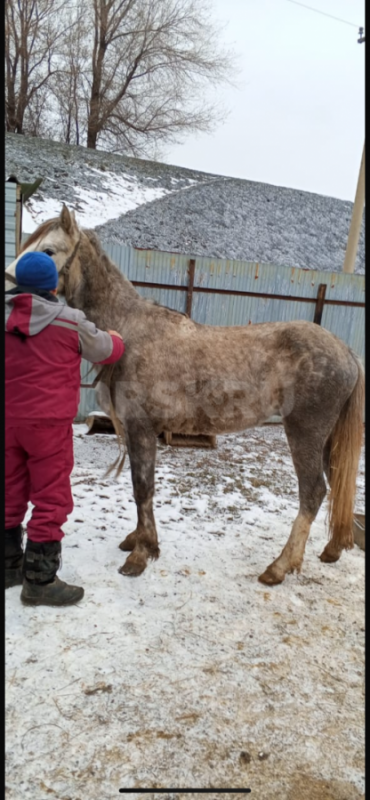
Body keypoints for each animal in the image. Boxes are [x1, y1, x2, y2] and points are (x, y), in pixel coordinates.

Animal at [5, 203, 364, 584]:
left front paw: (141, 553)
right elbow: (137, 487)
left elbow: (143, 487)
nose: (11, 293)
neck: (131, 331)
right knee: (337, 485)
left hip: (304, 433)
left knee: (313, 492)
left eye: (47, 251)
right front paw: (136, 540)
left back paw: (279, 567)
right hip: (327, 439)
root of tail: (345, 351)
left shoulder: (141, 428)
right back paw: (330, 551)